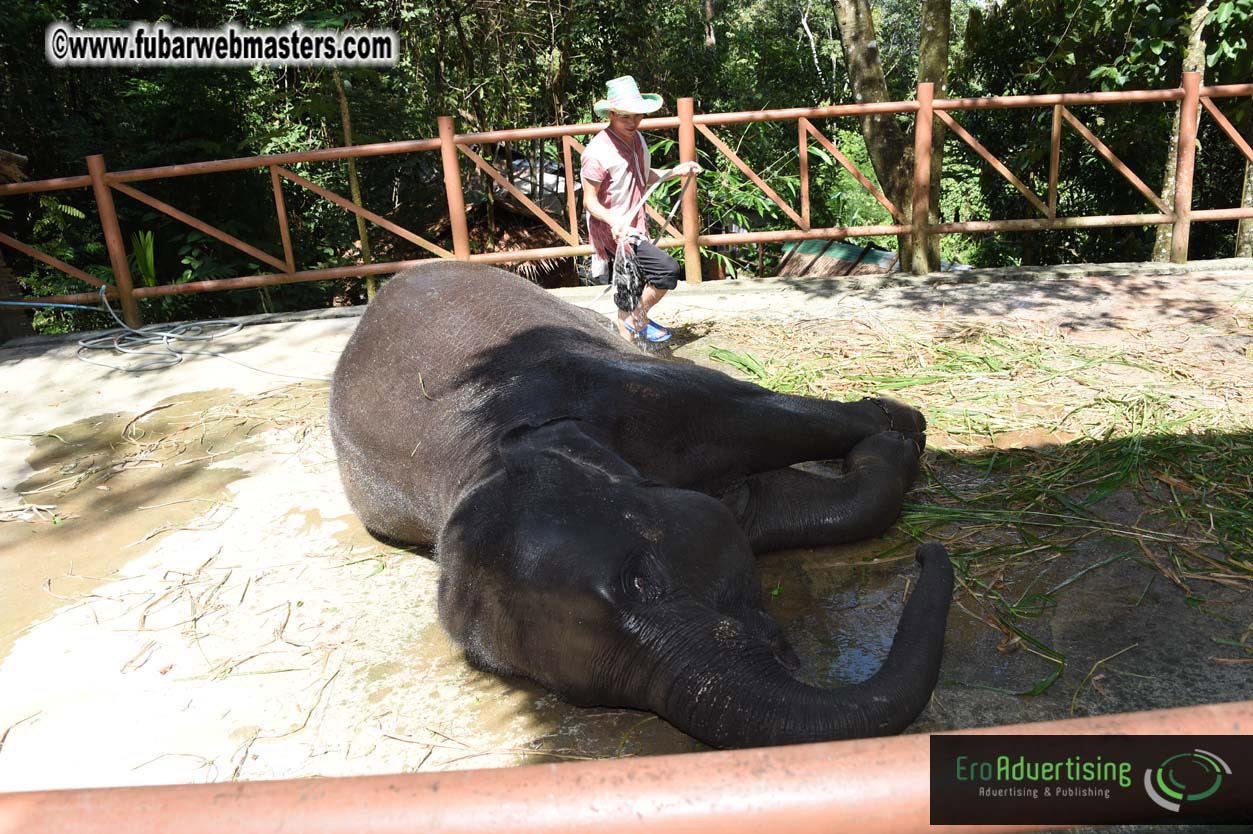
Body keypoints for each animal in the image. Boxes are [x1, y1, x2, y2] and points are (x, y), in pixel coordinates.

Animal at [329, 262, 953, 749]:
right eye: (578, 693)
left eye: (640, 581)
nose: (928, 555)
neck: (483, 455)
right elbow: (779, 507)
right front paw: (888, 448)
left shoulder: (634, 392)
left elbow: (764, 414)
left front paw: (901, 429)